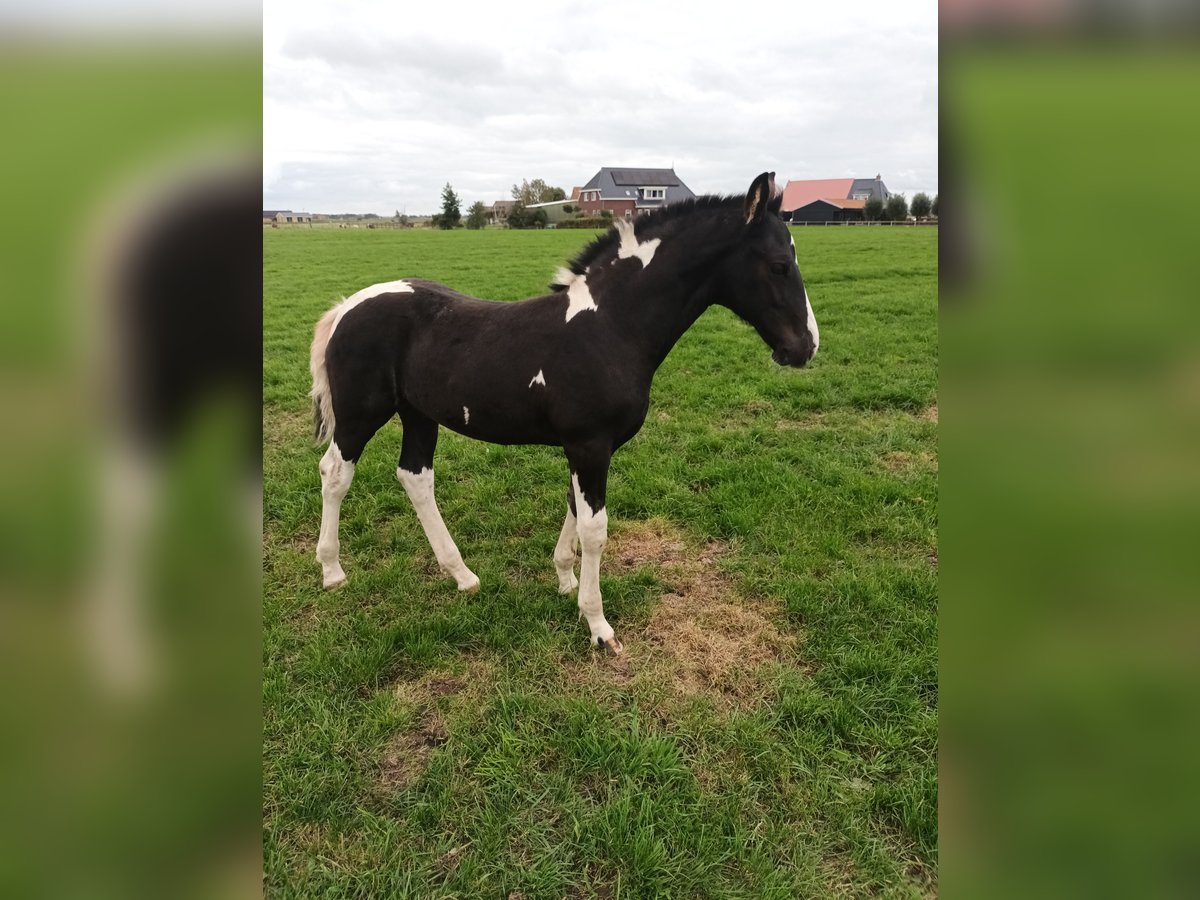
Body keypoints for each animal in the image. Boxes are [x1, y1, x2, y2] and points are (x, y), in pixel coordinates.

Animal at [309, 172, 816, 657]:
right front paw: (598, 626)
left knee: (415, 477)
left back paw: (463, 576)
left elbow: (574, 508)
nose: (805, 348)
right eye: (778, 265)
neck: (610, 326)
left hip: (418, 414)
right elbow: (595, 530)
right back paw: (332, 570)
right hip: (359, 416)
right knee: (335, 473)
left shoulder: (584, 449)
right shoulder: (590, 446)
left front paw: (565, 580)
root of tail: (345, 308)